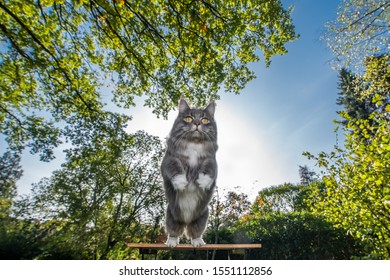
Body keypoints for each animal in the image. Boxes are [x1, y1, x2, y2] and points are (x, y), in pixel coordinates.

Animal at [160, 97, 218, 246]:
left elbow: (209, 169)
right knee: (174, 232)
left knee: (195, 233)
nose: (197, 123)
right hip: (172, 216)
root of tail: (186, 221)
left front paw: (202, 182)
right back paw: (171, 242)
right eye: (188, 118)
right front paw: (181, 183)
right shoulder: (169, 159)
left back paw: (198, 242)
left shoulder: (211, 160)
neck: (194, 143)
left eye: (205, 120)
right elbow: (175, 167)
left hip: (201, 218)